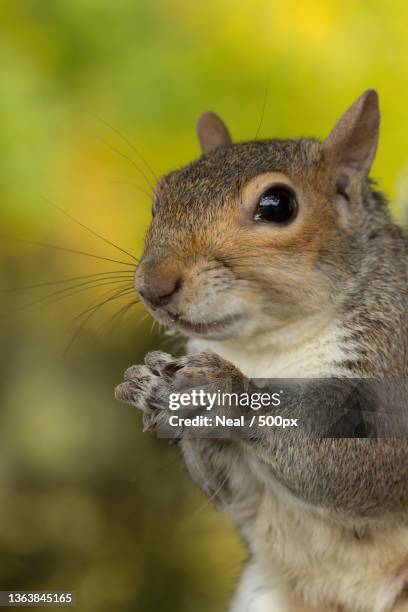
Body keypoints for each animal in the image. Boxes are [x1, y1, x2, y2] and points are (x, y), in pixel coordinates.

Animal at [114, 91, 408, 612]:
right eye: (159, 199)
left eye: (277, 205)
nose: (152, 287)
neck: (265, 346)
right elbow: (235, 494)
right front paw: (148, 386)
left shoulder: (394, 357)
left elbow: (368, 462)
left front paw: (223, 395)